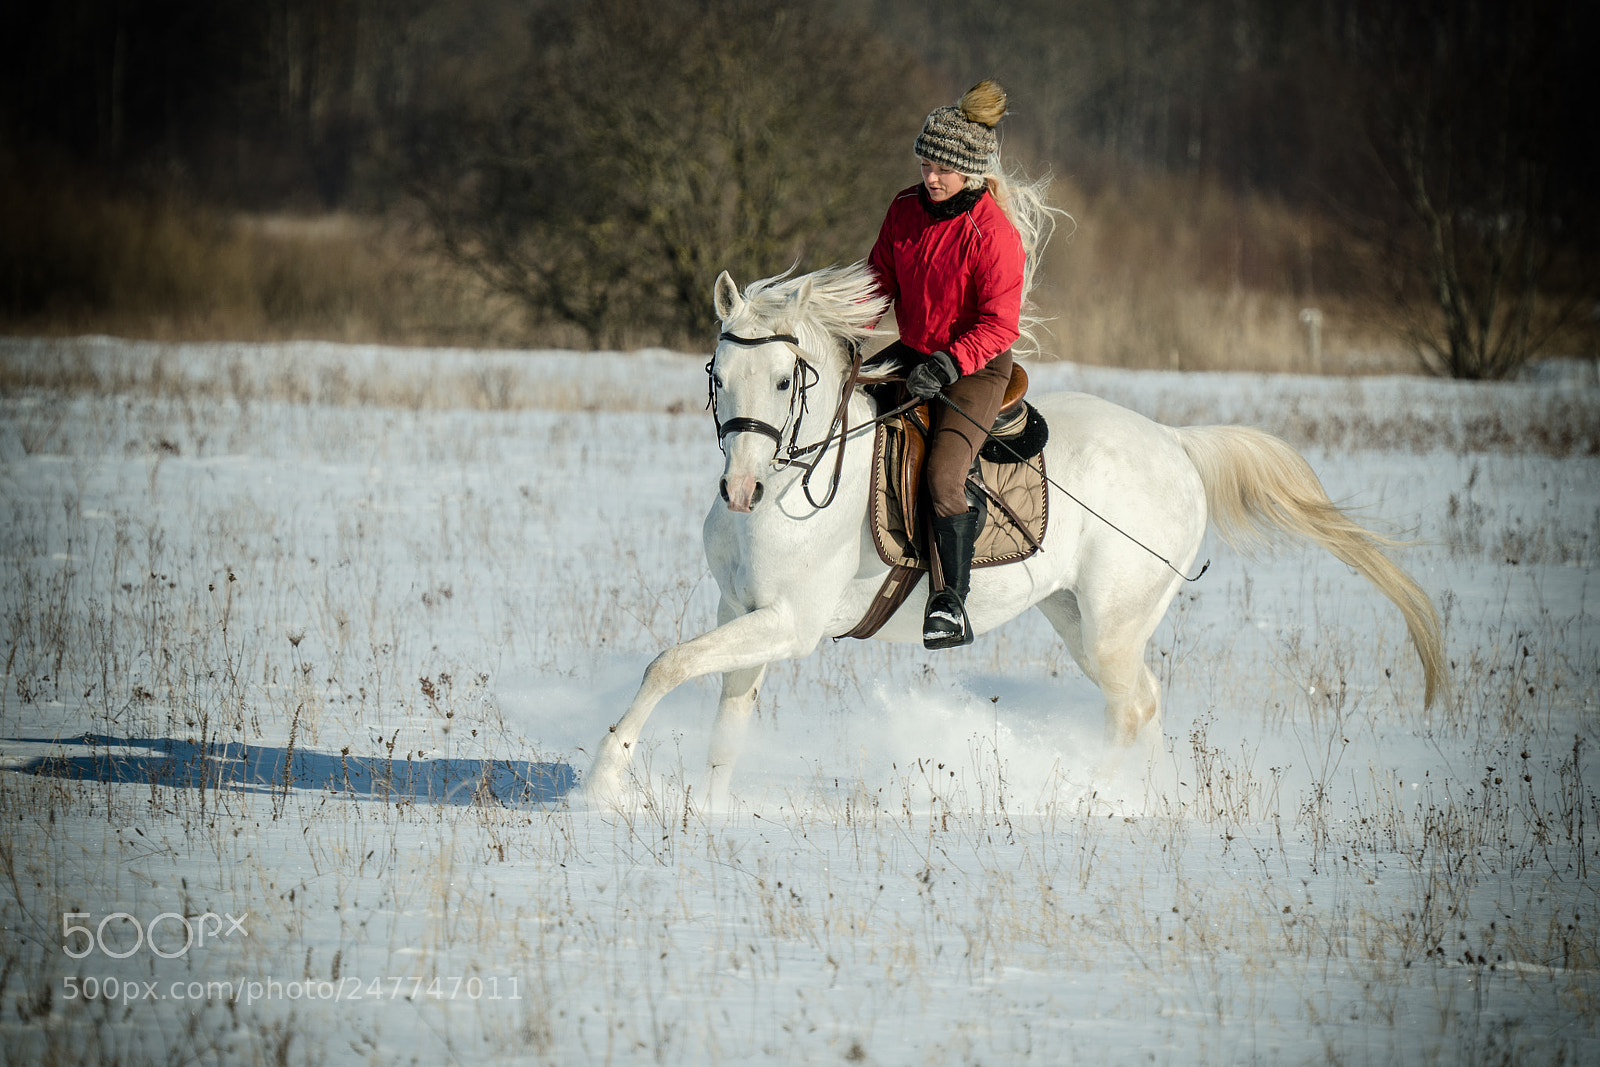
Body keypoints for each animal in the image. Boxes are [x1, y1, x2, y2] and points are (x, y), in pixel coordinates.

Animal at [583, 263, 1446, 806]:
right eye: (715, 375)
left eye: (786, 378)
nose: (742, 490)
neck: (799, 485)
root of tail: (1175, 443)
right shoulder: (743, 612)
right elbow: (726, 712)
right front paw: (711, 808)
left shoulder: (787, 623)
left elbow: (667, 664)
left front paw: (605, 777)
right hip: (1078, 619)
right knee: (1144, 702)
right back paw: (1151, 801)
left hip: (1110, 624)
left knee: (1131, 709)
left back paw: (1093, 791)